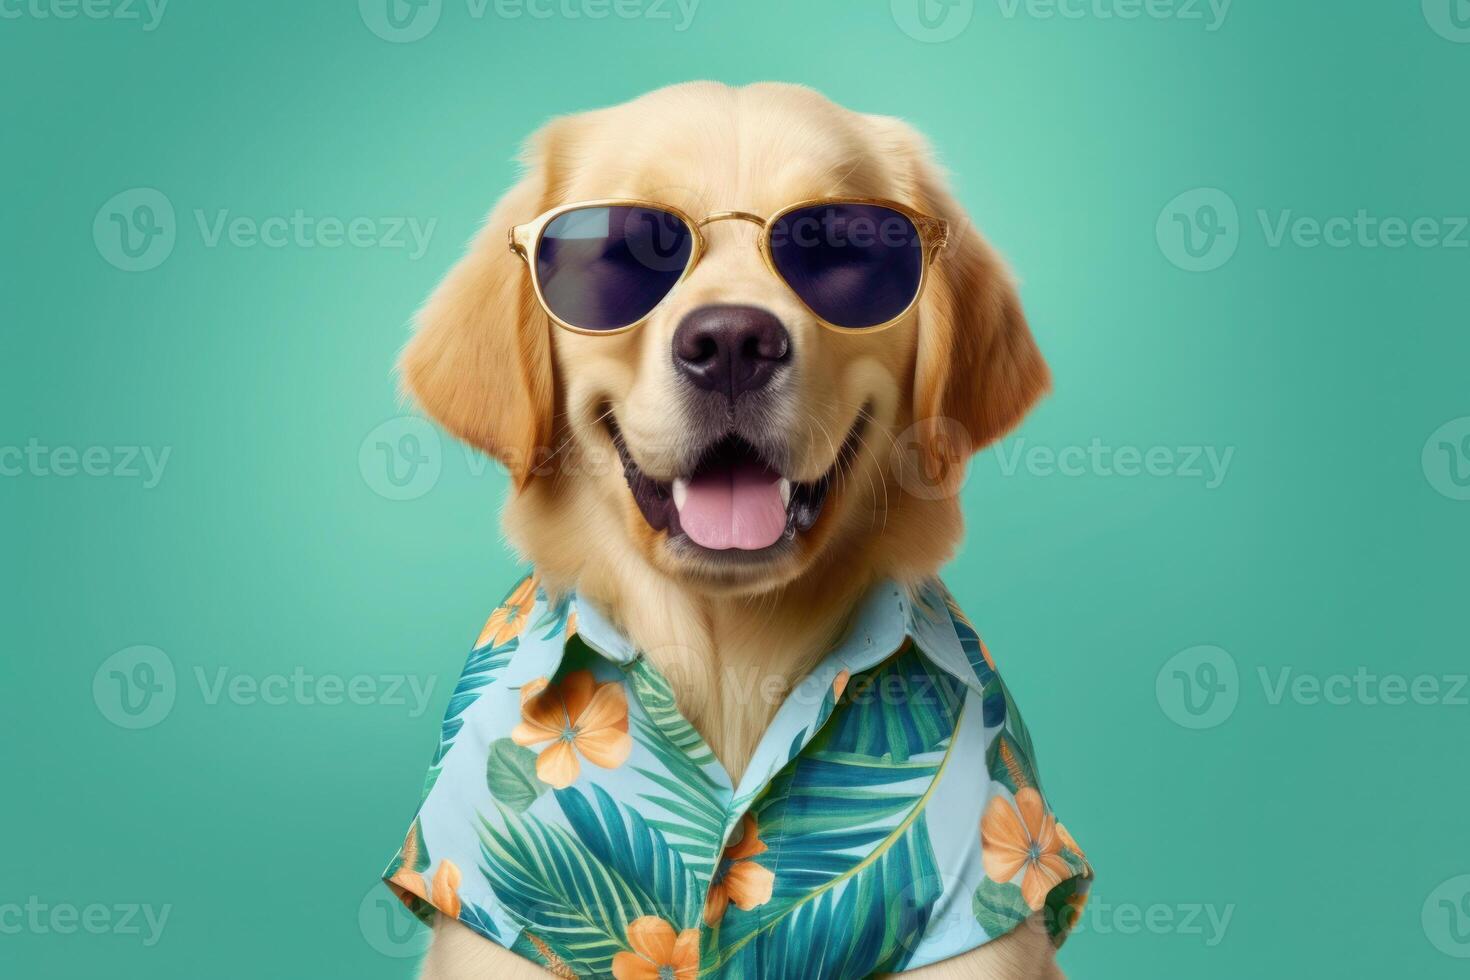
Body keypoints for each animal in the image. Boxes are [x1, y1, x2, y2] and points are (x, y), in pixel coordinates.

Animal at [402, 80, 1064, 975]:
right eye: (632, 251)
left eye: (836, 244)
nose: (731, 344)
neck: (728, 654)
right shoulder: (492, 898)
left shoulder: (977, 893)